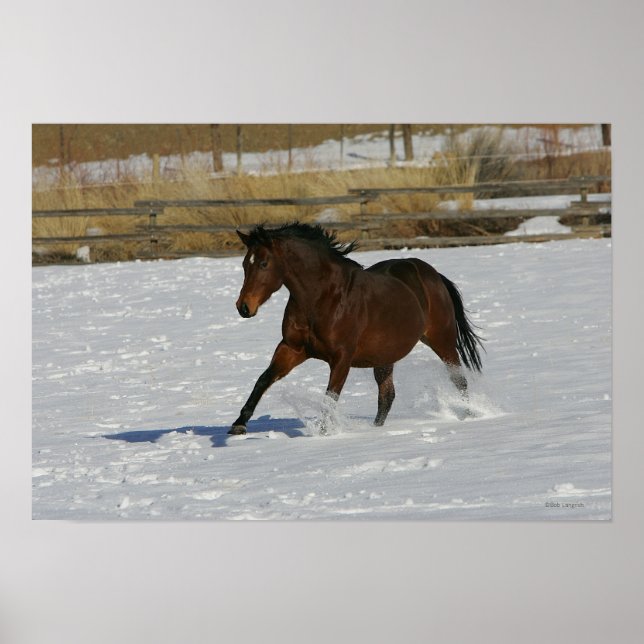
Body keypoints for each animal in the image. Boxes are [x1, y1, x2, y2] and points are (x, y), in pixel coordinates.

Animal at [229, 222, 483, 435]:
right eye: (244, 264)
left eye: (264, 263)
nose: (244, 307)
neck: (322, 297)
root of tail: (433, 275)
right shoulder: (292, 349)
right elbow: (263, 379)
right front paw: (239, 424)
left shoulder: (342, 357)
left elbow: (330, 397)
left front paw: (324, 433)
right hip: (385, 356)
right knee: (387, 396)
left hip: (442, 341)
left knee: (459, 381)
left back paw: (469, 415)